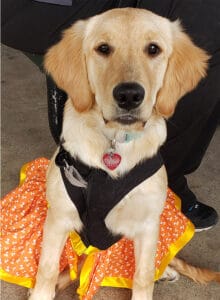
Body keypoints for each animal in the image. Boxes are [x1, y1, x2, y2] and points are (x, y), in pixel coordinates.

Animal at [28, 7, 217, 300]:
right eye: (103, 49)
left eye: (153, 49)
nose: (129, 95)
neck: (114, 142)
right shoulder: (58, 218)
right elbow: (47, 269)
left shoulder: (148, 225)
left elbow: (143, 276)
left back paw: (166, 271)